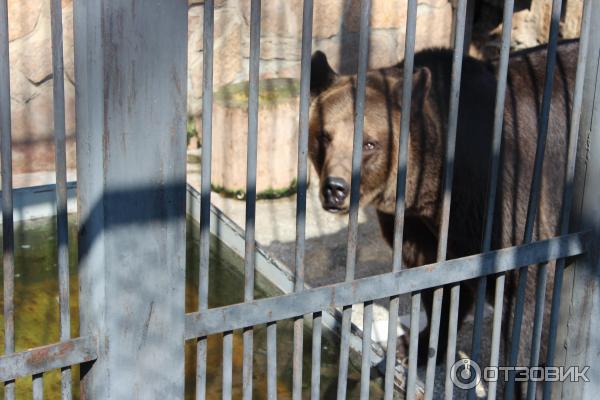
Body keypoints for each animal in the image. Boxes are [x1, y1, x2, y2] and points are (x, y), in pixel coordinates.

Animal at [310, 39, 576, 394]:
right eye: (324, 136)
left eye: (369, 144)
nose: (335, 189)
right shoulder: (424, 226)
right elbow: (440, 283)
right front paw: (414, 346)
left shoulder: (510, 200)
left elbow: (528, 294)